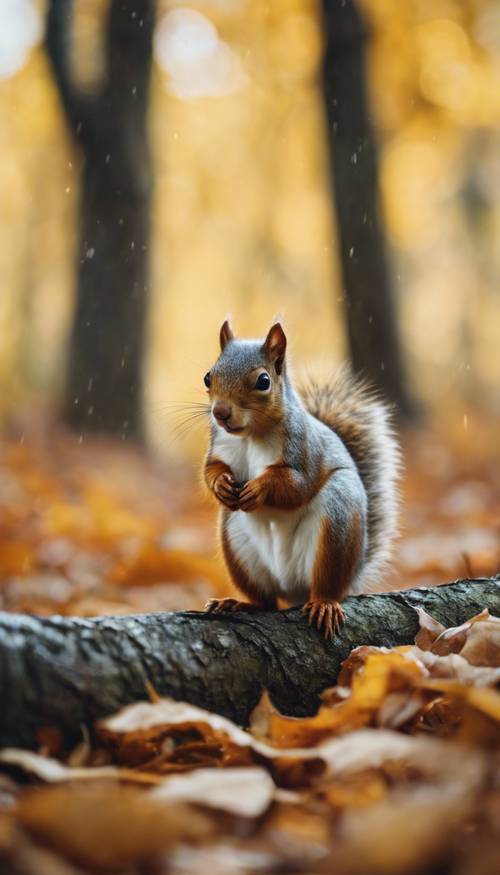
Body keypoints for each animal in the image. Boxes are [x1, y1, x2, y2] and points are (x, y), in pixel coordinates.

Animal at [201, 320, 400, 636]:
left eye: (263, 381)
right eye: (209, 377)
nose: (220, 413)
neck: (251, 435)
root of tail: (293, 589)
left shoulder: (303, 450)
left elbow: (296, 485)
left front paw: (259, 488)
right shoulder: (218, 446)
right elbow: (211, 470)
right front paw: (221, 484)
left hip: (337, 522)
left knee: (327, 584)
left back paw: (324, 604)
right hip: (237, 544)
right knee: (266, 602)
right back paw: (239, 604)